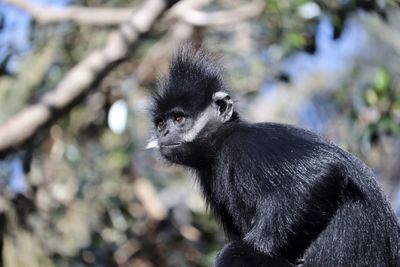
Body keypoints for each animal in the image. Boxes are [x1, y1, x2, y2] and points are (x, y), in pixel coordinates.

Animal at [147, 47, 400, 266]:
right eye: (160, 124)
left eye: (179, 119)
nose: (164, 134)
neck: (220, 144)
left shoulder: (247, 145)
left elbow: (324, 172)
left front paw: (257, 247)